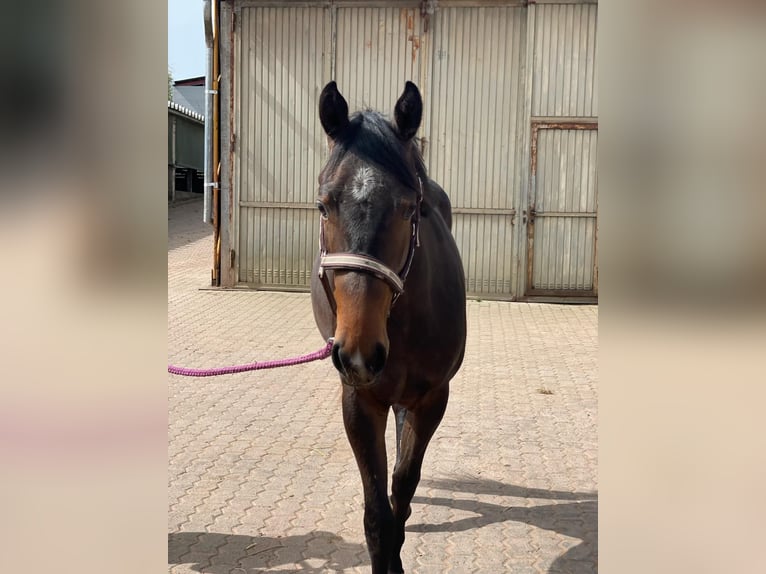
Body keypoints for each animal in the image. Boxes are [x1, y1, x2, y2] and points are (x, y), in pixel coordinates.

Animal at [312, 82, 468, 574]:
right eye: (324, 205)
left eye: (408, 207)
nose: (359, 353)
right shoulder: (360, 399)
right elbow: (377, 513)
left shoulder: (433, 398)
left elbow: (402, 484)